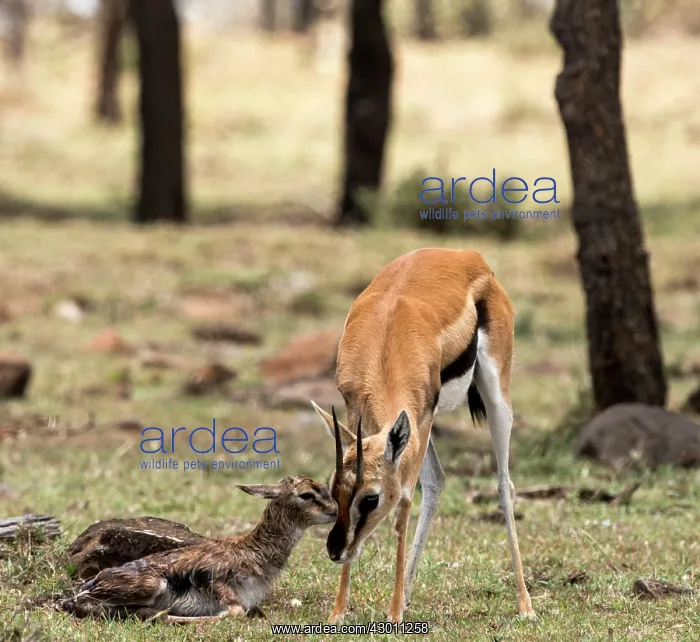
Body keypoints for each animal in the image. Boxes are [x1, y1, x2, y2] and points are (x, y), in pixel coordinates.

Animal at [62, 476, 337, 622]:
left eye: (325, 488)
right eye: (306, 494)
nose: (335, 510)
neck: (252, 553)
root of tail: (94, 580)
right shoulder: (214, 579)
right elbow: (234, 612)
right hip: (151, 585)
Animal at [311, 247, 535, 623]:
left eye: (371, 499)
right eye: (333, 491)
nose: (335, 550)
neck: (387, 338)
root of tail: (470, 256)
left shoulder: (422, 417)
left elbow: (402, 509)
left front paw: (393, 616)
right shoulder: (361, 413)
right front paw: (337, 613)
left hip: (494, 396)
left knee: (504, 484)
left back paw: (525, 605)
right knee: (439, 481)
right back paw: (407, 595)